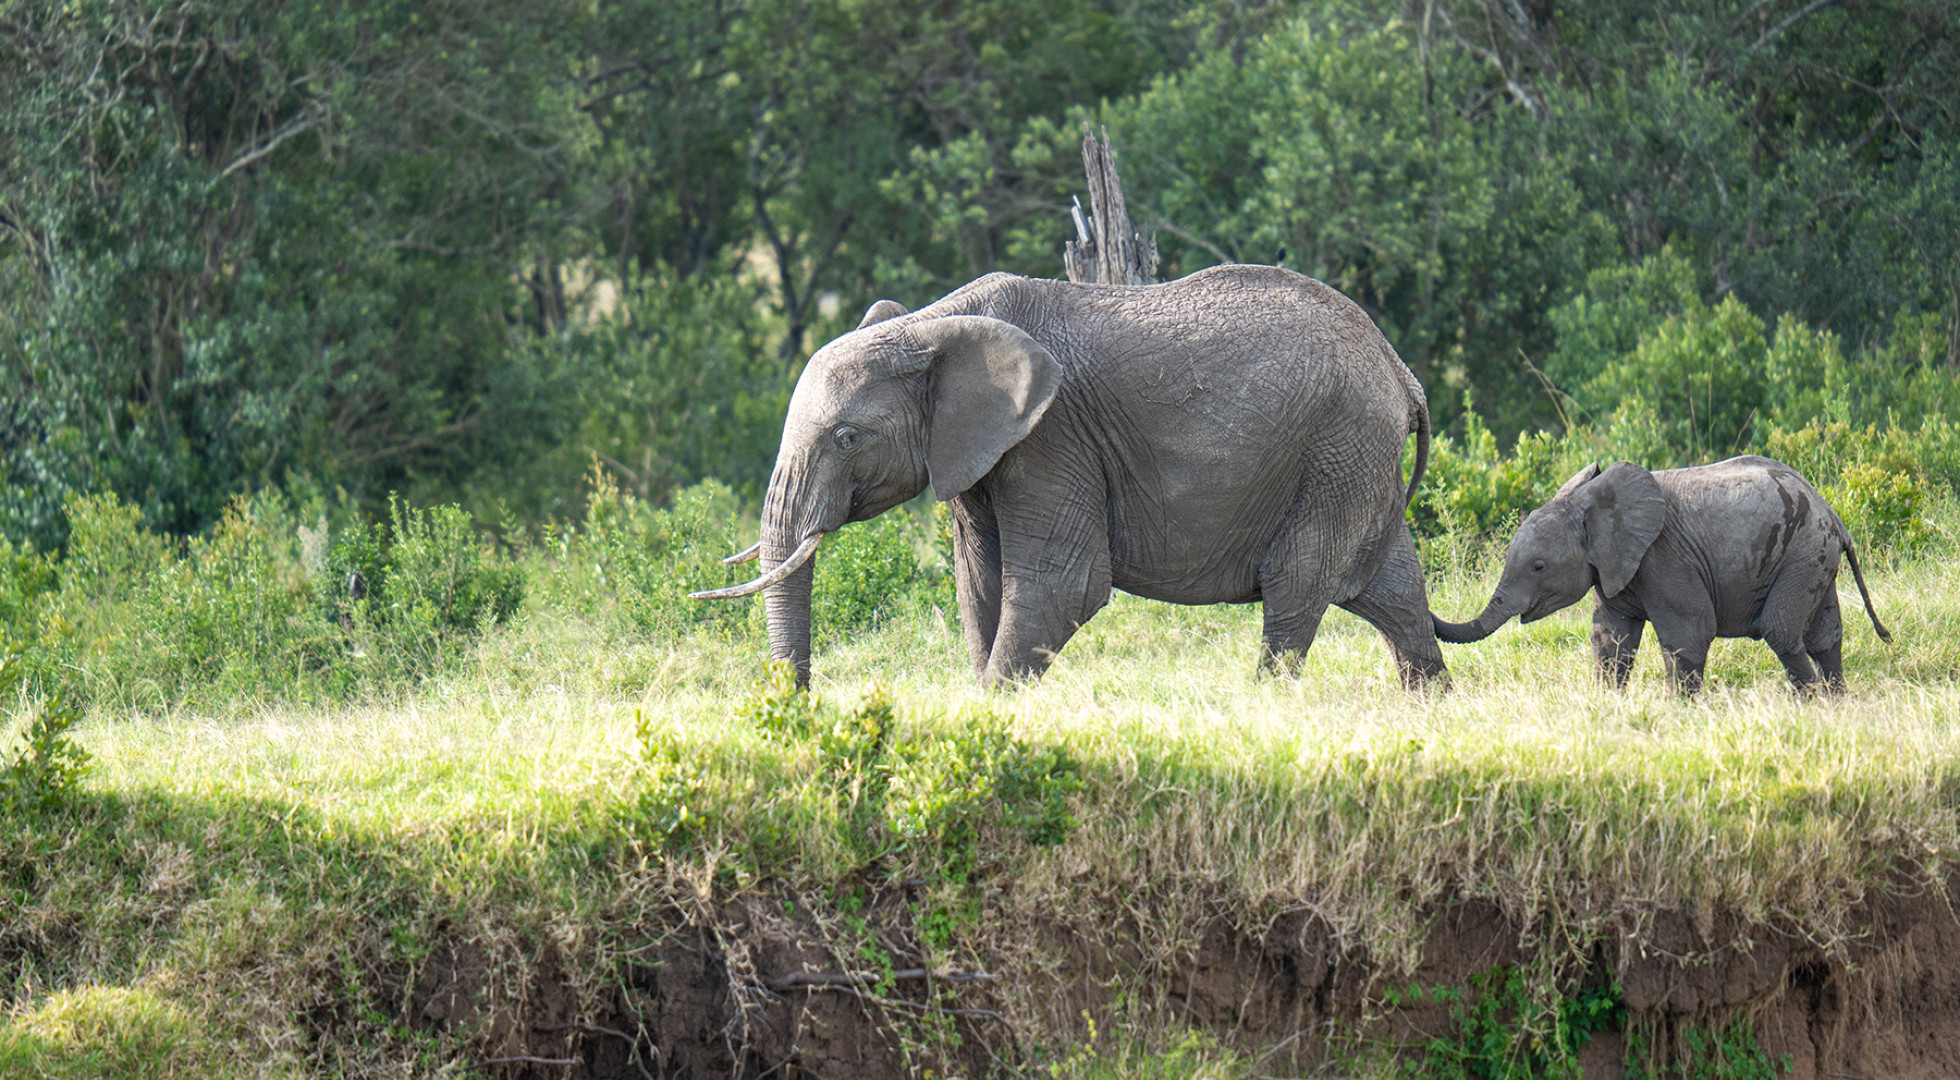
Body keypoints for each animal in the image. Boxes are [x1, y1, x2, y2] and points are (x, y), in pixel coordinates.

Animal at [691, 263, 1448, 691]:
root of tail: (1403, 374)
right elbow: (980, 583)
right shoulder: (978, 452)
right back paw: (1430, 700)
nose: (798, 708)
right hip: (1354, 460)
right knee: (1392, 591)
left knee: (1296, 583)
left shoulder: (1053, 438)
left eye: (847, 438)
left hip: (1338, 447)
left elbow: (1063, 585)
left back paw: (1264, 701)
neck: (933, 326)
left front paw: (990, 710)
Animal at [1432, 456, 1892, 694]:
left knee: (1781, 630)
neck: (1591, 504)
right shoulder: (1613, 567)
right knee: (1824, 636)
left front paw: (1679, 713)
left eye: (1539, 566)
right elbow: (1611, 639)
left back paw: (1811, 704)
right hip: (1813, 553)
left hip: (1803, 551)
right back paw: (1835, 704)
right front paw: (1607, 706)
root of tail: (1833, 514)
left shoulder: (1665, 557)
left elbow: (1689, 634)